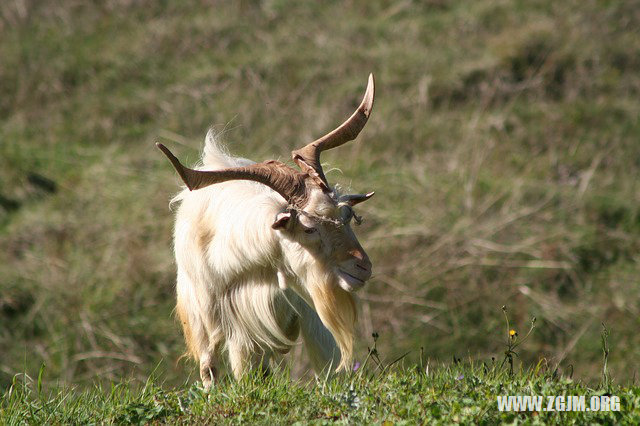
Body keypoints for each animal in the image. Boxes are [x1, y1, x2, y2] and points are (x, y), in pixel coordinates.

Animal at [158, 75, 376, 388]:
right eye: (309, 228)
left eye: (346, 216)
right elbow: (211, 369)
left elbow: (327, 365)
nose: (362, 267)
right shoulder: (217, 319)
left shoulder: (307, 314)